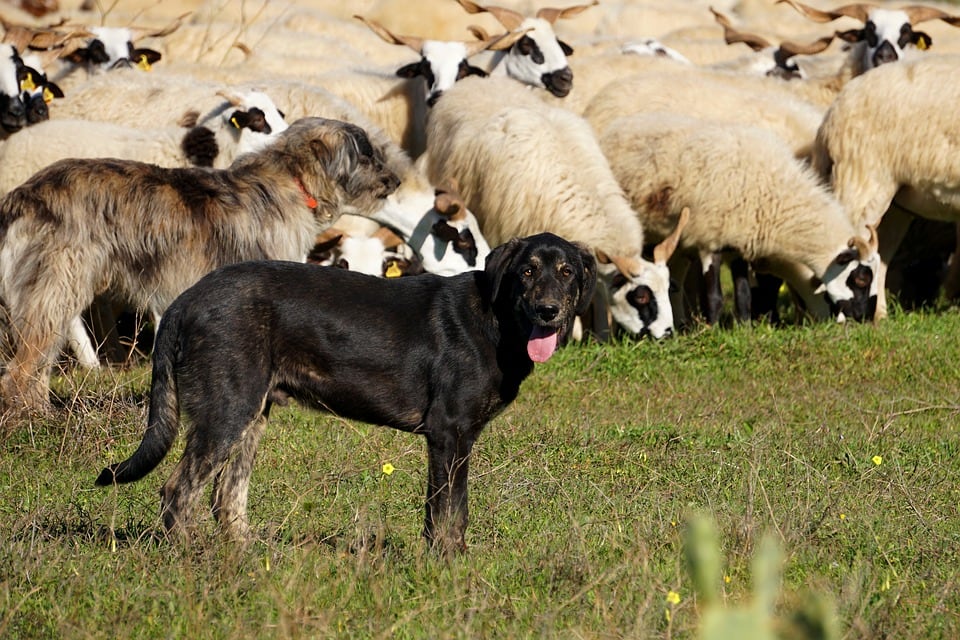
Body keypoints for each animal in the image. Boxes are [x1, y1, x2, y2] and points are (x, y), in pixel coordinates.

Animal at [95, 232, 592, 552]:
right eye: (527, 271)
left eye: (567, 272)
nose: (548, 311)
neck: (497, 319)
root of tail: (185, 300)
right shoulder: (448, 433)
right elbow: (447, 512)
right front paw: (446, 567)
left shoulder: (456, 438)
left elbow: (453, 511)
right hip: (227, 412)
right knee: (178, 492)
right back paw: (189, 560)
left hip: (250, 416)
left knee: (227, 498)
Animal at [600, 110, 884, 324]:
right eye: (861, 278)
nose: (862, 318)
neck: (775, 197)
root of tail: (617, 126)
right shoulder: (709, 240)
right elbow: (714, 297)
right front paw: (712, 330)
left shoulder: (737, 242)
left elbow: (744, 295)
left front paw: (745, 328)